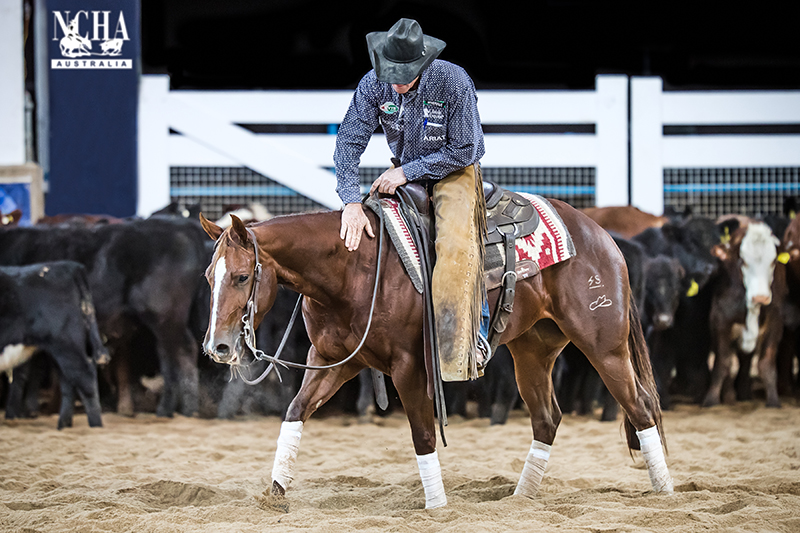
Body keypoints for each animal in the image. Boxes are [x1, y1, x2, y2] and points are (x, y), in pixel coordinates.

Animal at [0, 262, 108, 428]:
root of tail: (69, 266)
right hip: (58, 351)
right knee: (68, 383)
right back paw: (63, 426)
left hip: (66, 345)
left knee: (85, 377)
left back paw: (95, 427)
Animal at [197, 195, 672, 508]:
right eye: (208, 277)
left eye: (241, 277)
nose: (217, 346)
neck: (353, 269)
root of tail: (602, 236)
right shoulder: (332, 361)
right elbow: (295, 412)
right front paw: (275, 492)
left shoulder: (409, 368)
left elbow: (423, 435)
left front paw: (437, 505)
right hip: (533, 351)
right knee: (547, 419)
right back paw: (519, 499)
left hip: (604, 346)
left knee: (640, 407)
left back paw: (664, 491)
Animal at [704, 220, 784, 408]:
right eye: (742, 261)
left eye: (773, 261)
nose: (761, 296)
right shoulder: (721, 321)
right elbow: (723, 363)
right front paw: (711, 400)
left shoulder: (776, 321)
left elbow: (766, 363)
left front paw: (773, 401)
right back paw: (730, 396)